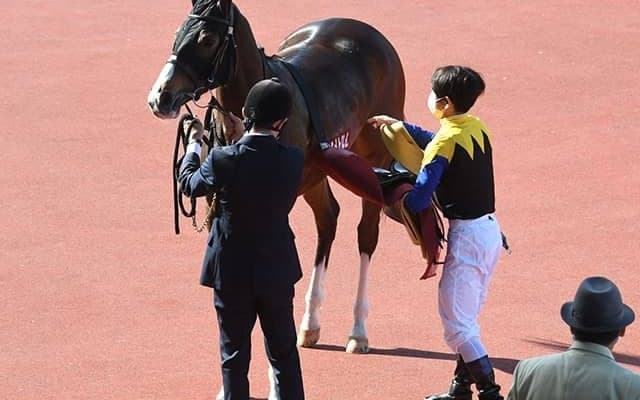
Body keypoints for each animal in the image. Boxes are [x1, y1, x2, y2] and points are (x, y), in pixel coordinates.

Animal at [148, 0, 406, 358]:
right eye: (177, 32)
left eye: (207, 40)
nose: (160, 97)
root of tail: (370, 33)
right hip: (316, 173)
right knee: (328, 219)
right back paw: (310, 324)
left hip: (373, 160)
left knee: (366, 234)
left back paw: (358, 331)